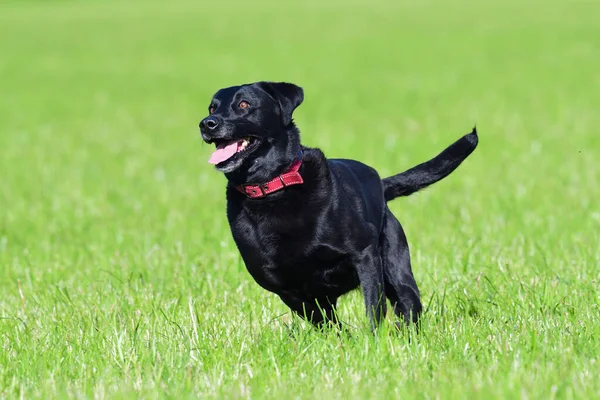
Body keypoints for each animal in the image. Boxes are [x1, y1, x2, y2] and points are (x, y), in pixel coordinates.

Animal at [199, 82, 476, 332]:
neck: (274, 191)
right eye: (212, 107)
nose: (206, 123)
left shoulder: (365, 254)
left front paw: (373, 343)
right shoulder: (284, 286)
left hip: (396, 268)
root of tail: (380, 183)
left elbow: (373, 308)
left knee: (408, 304)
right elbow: (324, 322)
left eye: (244, 104)